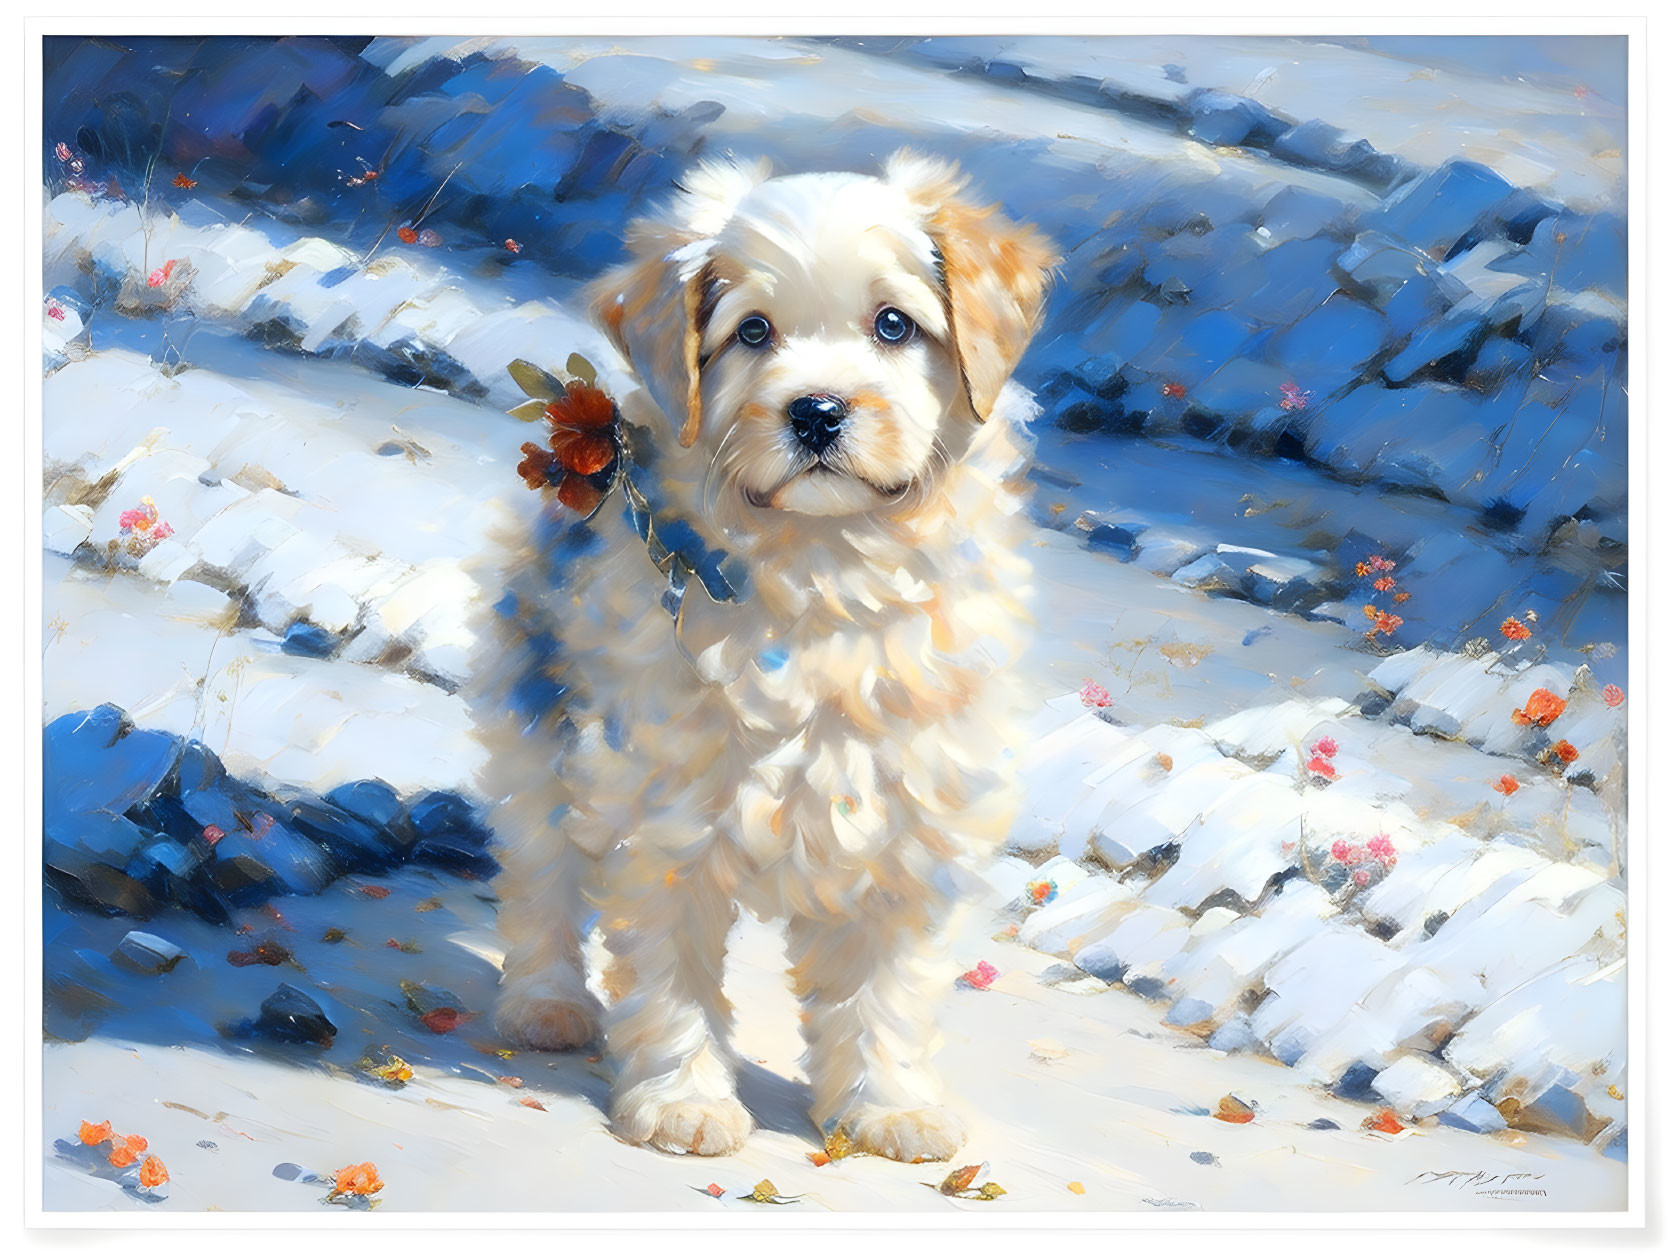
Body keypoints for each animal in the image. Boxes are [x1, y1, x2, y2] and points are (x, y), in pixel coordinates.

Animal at [465, 152, 1050, 1164]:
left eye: (892, 324)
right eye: (751, 331)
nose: (815, 412)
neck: (824, 560)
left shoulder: (909, 816)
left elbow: (885, 986)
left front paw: (888, 1105)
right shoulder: (664, 812)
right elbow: (672, 973)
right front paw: (683, 1100)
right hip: (535, 717)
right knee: (540, 872)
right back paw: (545, 1003)